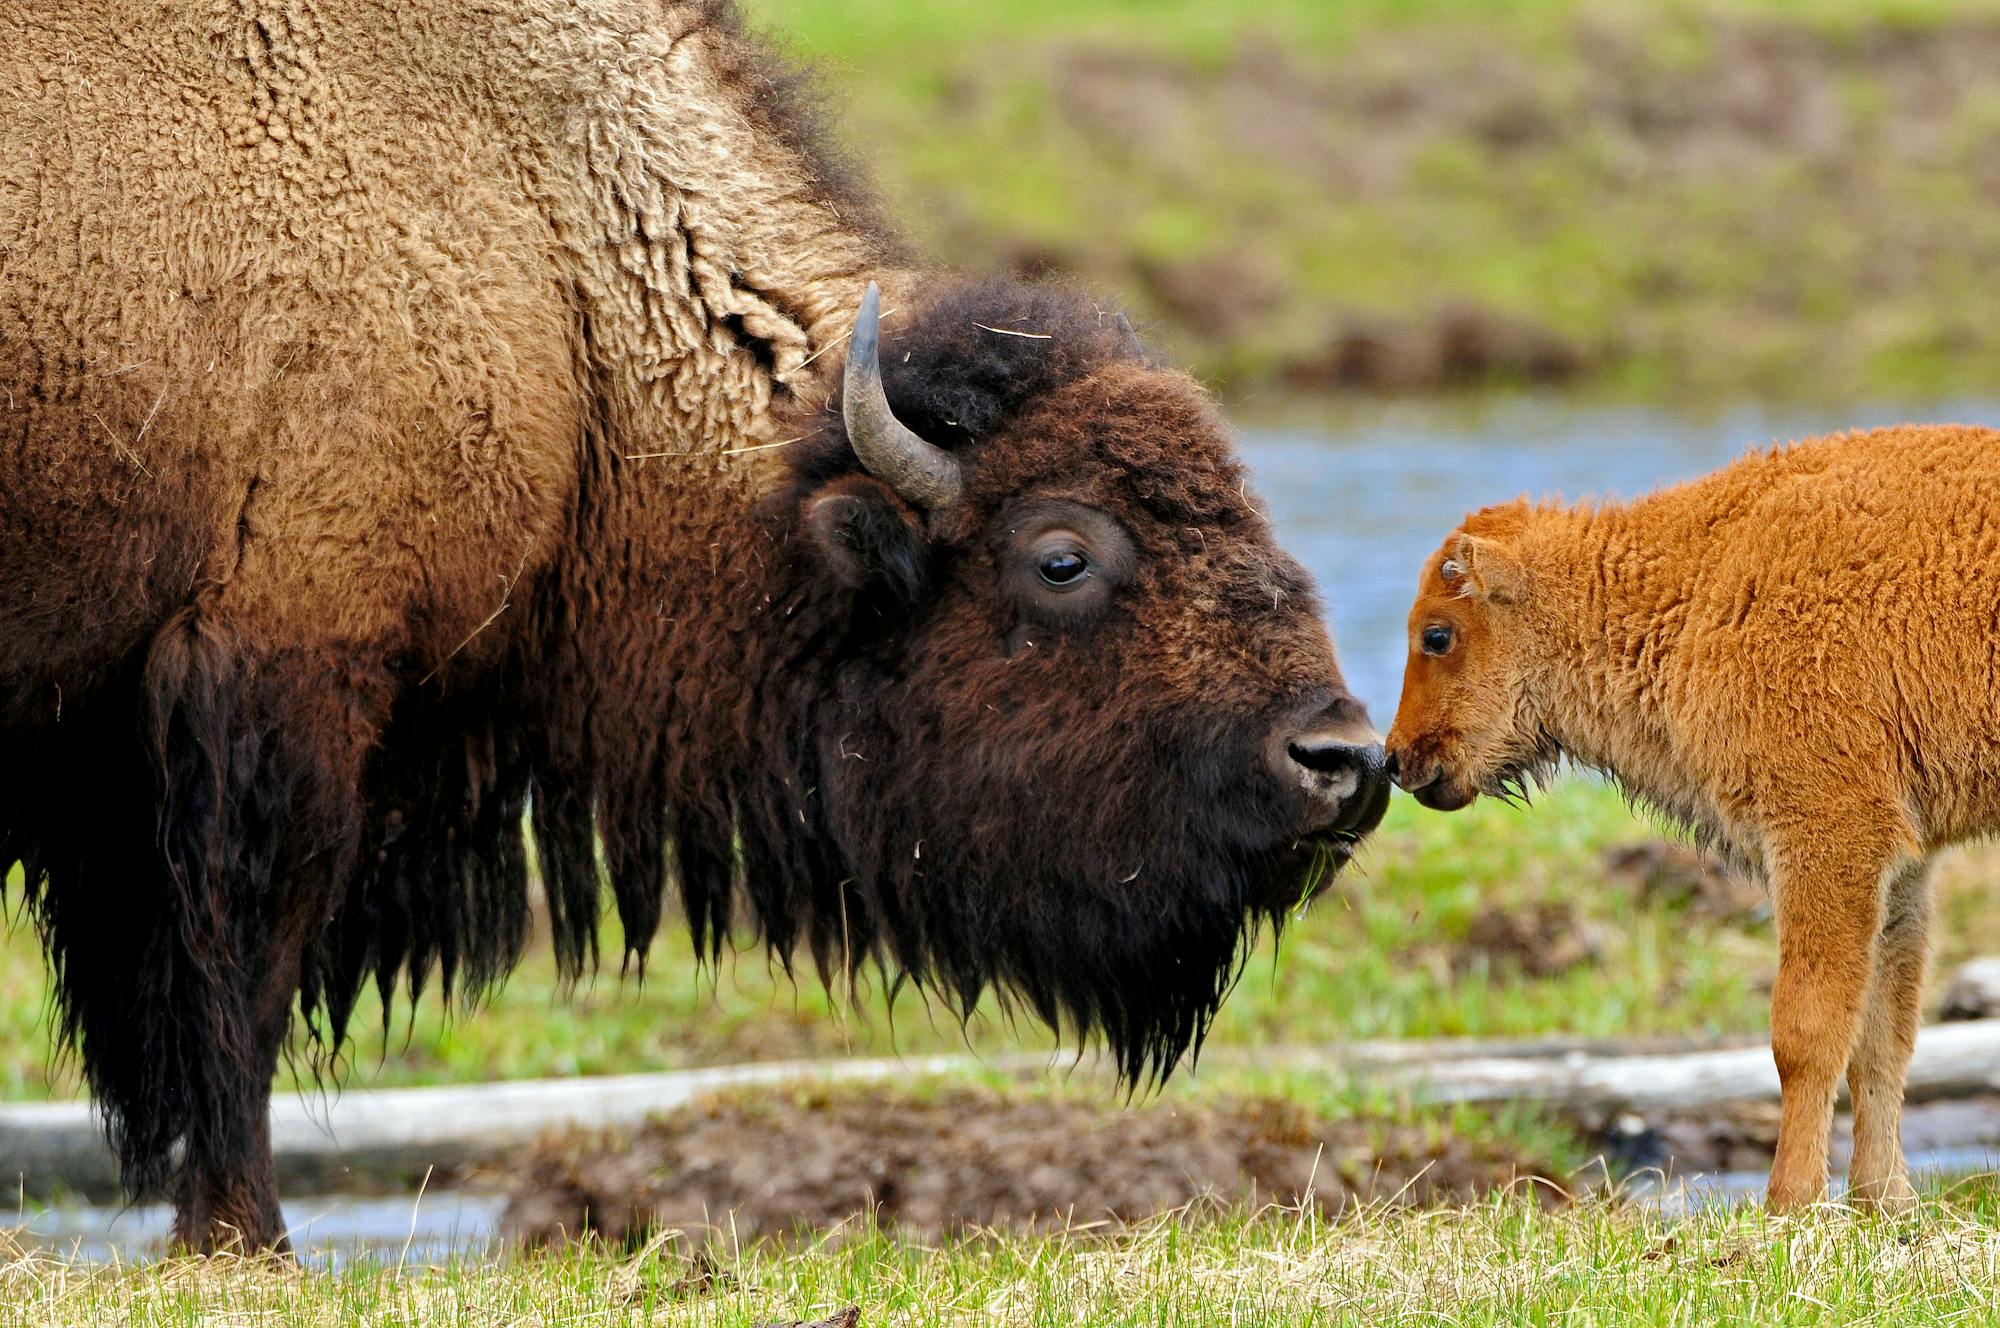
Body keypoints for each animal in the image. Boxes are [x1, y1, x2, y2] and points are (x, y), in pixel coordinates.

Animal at [0, 0, 1392, 1248]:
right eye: (1061, 556)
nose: (1338, 760)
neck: (549, 266)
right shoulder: (276, 674)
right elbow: (236, 977)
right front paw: (242, 1236)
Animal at [1384, 426, 2000, 1216]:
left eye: (1437, 635)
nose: (1396, 759)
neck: (1702, 580)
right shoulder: (1901, 867)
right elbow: (1882, 1037)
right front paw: (1883, 1203)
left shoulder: (1827, 833)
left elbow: (1805, 1030)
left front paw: (1788, 1202)